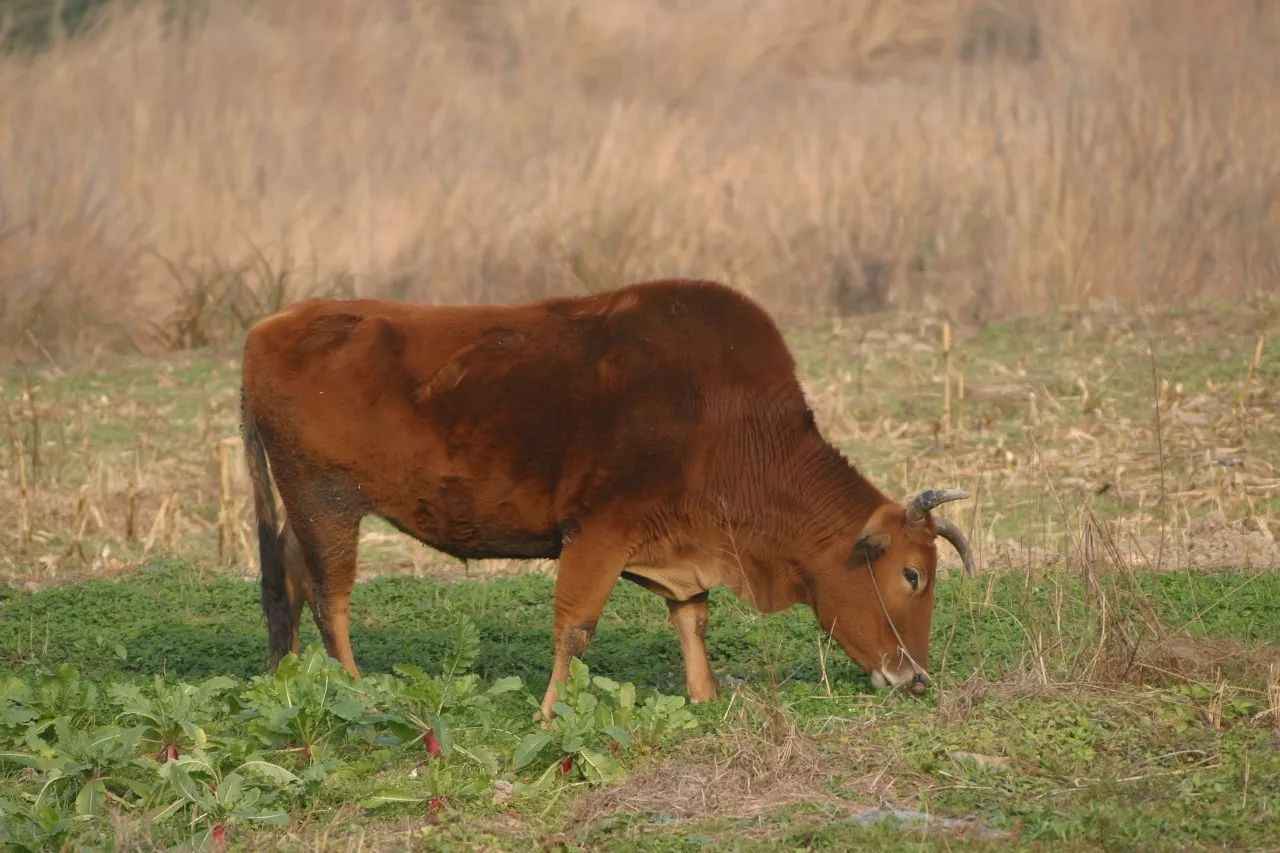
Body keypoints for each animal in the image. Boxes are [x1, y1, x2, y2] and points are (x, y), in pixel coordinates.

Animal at [240, 279, 972, 712]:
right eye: (912, 574)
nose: (915, 677)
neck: (729, 422)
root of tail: (272, 324)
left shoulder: (680, 547)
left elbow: (692, 618)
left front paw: (704, 696)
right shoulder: (598, 533)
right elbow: (576, 627)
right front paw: (551, 712)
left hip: (305, 507)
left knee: (289, 580)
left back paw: (287, 675)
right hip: (327, 501)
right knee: (330, 597)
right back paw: (356, 689)